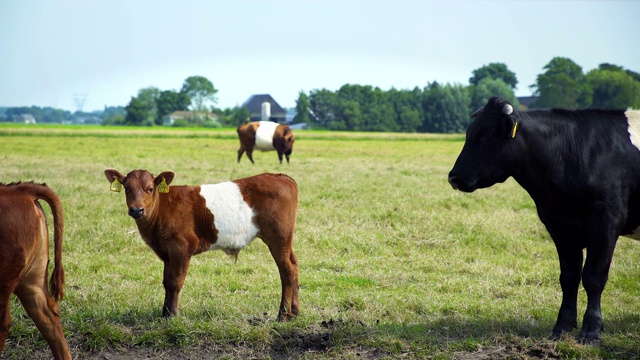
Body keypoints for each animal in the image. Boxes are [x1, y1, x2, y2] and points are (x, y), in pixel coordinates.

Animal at [104, 169, 302, 320]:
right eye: (127, 188)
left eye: (150, 189)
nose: (136, 210)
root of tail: (281, 176)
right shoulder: (167, 252)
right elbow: (166, 281)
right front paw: (164, 313)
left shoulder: (181, 247)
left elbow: (175, 281)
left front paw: (172, 315)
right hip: (286, 240)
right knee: (294, 264)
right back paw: (295, 312)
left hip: (278, 237)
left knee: (287, 270)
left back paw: (283, 315)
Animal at [448, 96, 640, 344]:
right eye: (469, 133)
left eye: (484, 135)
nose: (453, 177)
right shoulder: (560, 226)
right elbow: (569, 277)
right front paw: (562, 327)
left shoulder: (606, 222)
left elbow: (594, 276)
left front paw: (591, 330)